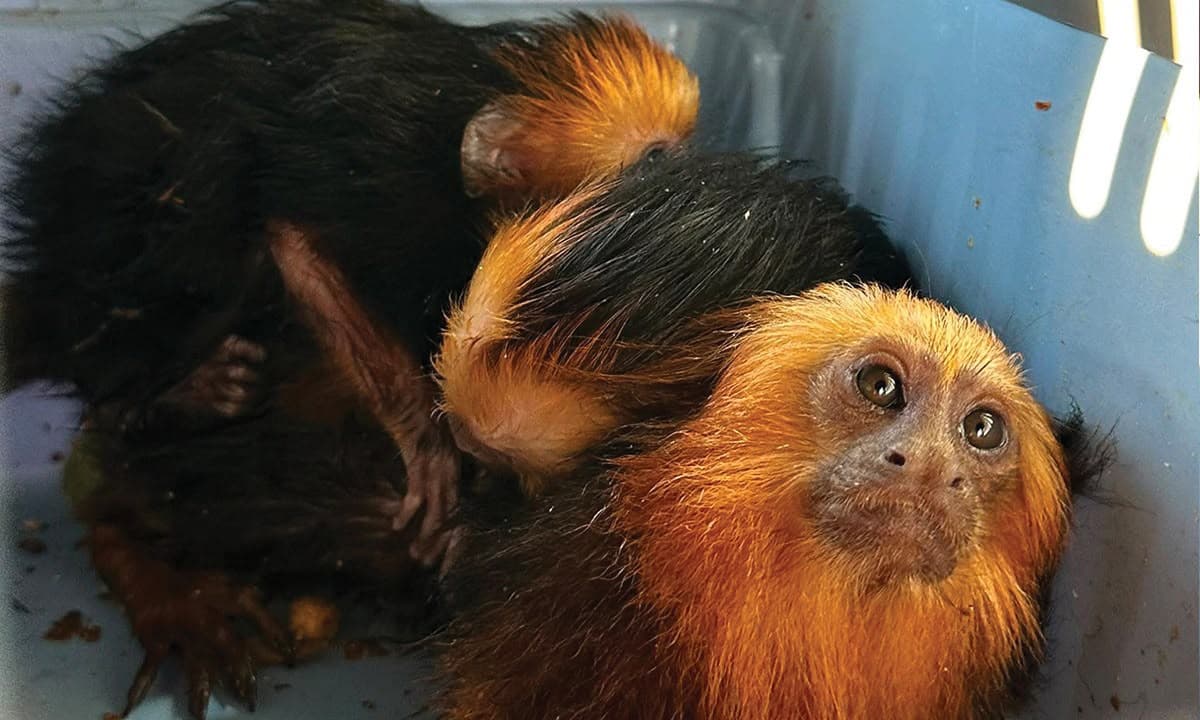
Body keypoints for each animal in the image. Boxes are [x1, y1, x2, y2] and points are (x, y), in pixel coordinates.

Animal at [1, 2, 699, 716]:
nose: (690, 178)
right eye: (651, 159)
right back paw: (178, 397)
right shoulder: (389, 183)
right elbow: (294, 243)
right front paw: (428, 445)